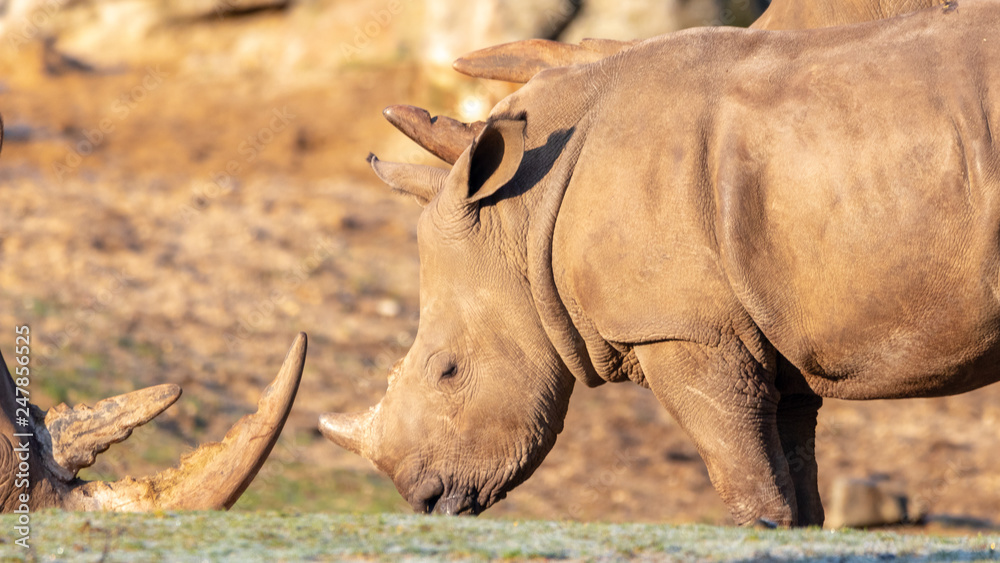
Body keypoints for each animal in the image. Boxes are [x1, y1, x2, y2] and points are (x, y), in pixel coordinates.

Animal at [321, 1, 1000, 527]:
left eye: (449, 372)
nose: (423, 499)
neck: (525, 217)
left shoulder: (681, 329)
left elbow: (749, 486)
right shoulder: (771, 331)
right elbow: (795, 485)